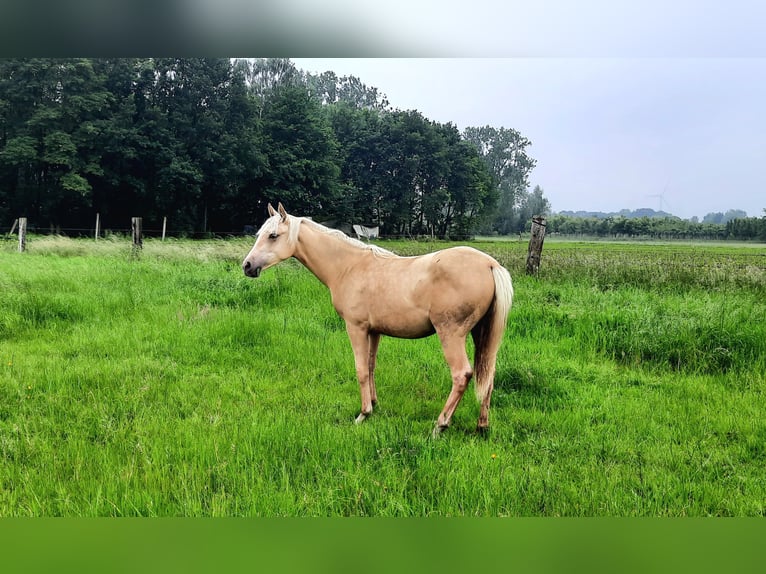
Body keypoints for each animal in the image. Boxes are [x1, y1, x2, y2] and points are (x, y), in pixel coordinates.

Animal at [243, 205, 512, 434]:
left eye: (273, 236)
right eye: (260, 234)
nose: (247, 266)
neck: (349, 267)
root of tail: (490, 264)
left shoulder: (356, 328)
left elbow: (361, 369)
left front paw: (363, 413)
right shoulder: (374, 331)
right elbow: (371, 366)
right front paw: (374, 404)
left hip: (451, 334)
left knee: (461, 375)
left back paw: (441, 424)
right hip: (481, 334)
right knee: (487, 375)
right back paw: (482, 426)